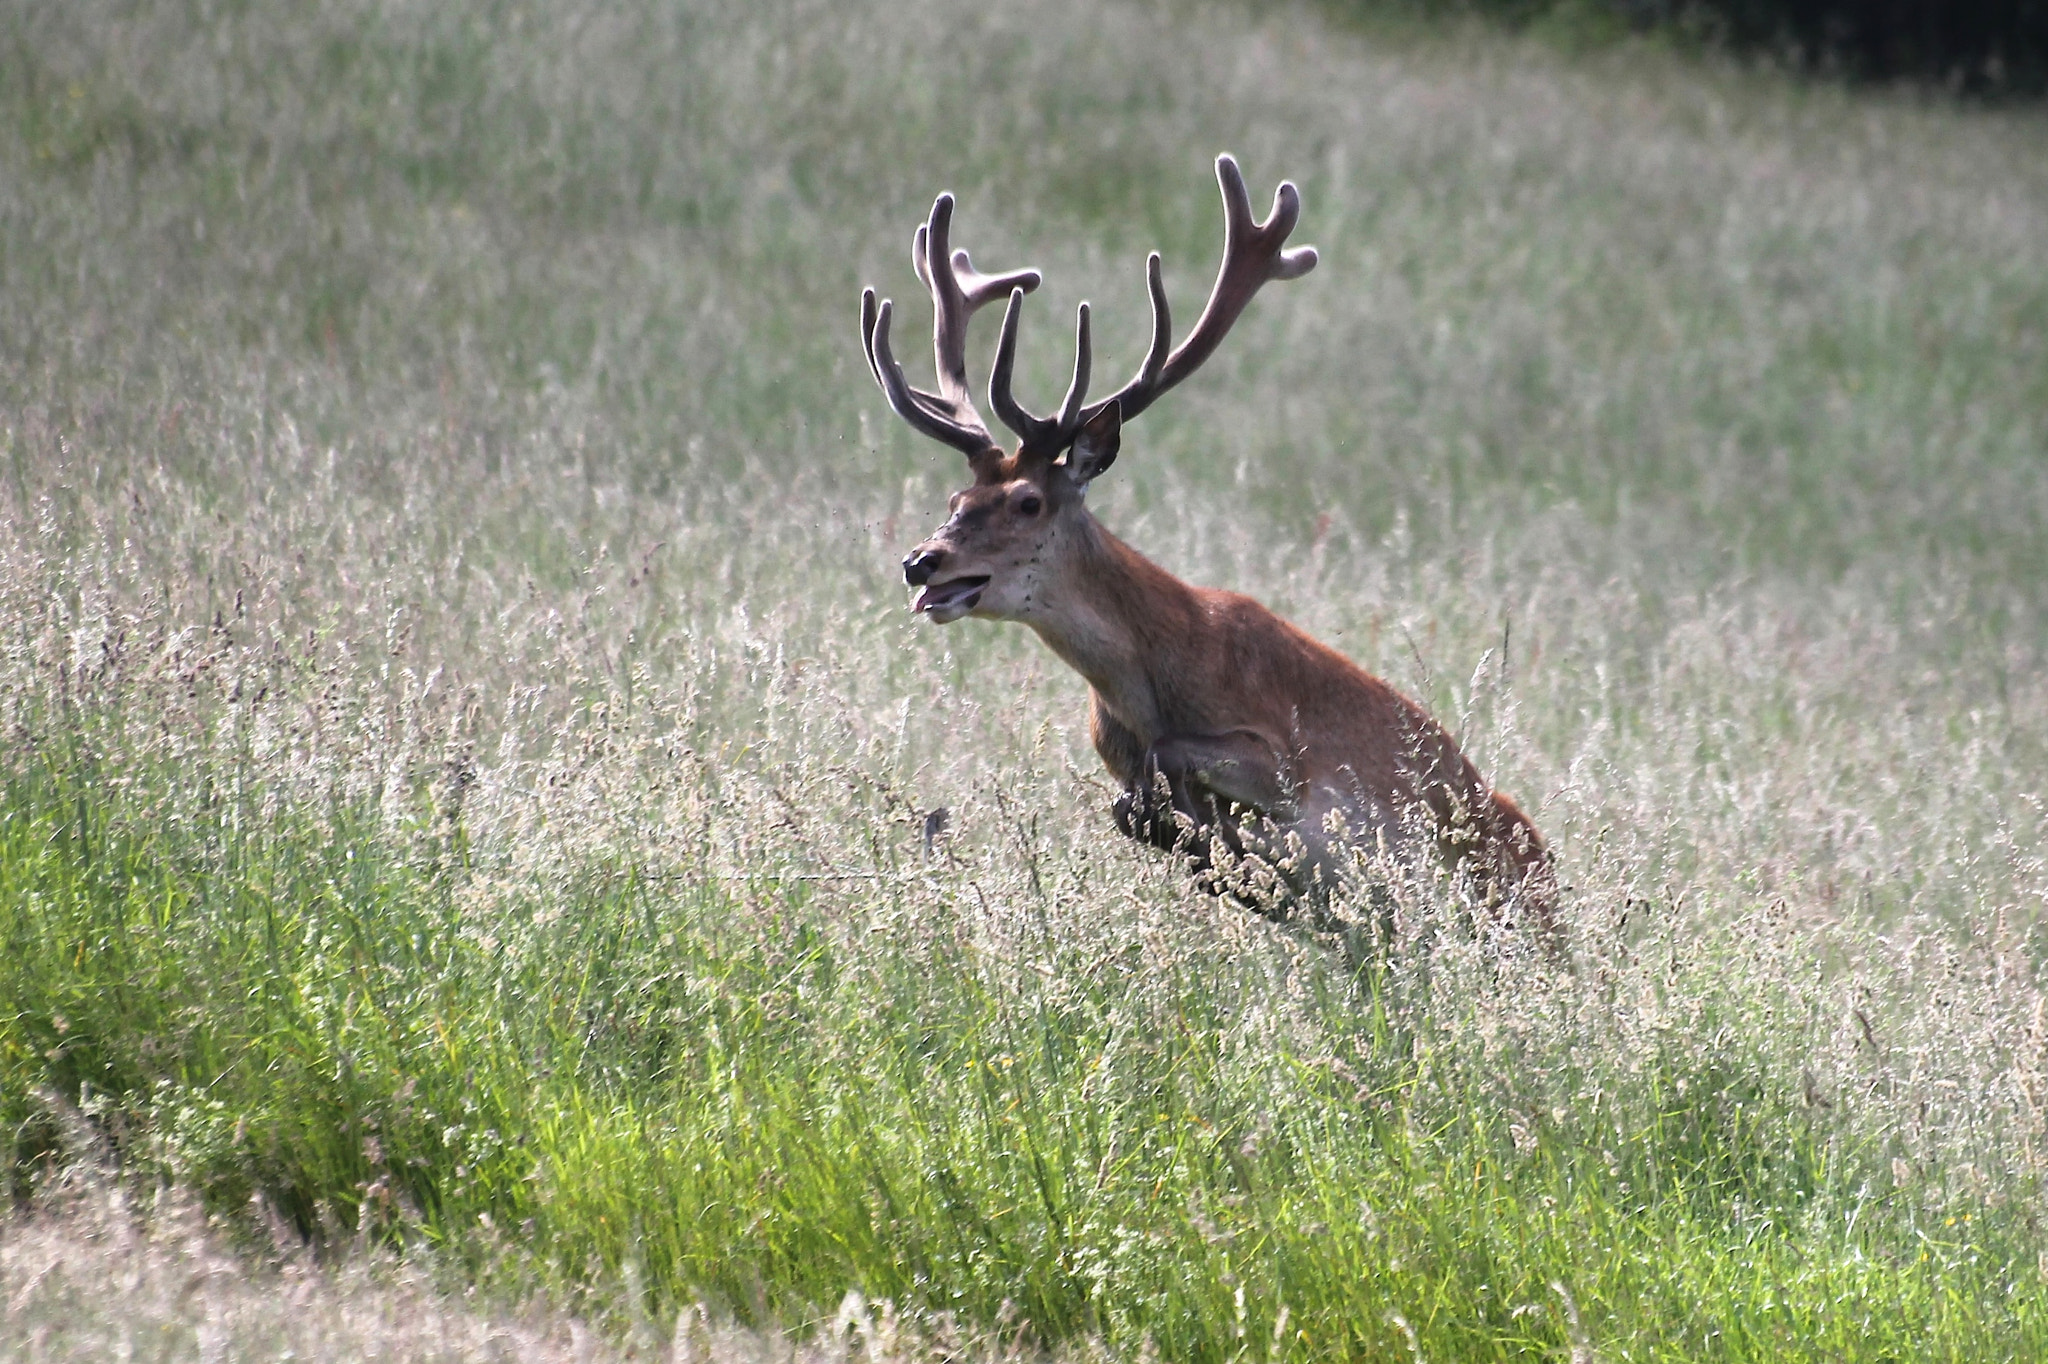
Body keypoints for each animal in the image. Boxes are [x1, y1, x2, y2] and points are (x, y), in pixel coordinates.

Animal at [859, 154, 1558, 949]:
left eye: (1028, 502)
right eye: (955, 501)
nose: (922, 561)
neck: (1147, 682)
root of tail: (1554, 895)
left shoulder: (1285, 757)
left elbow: (1176, 770)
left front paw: (1219, 839)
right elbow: (1131, 808)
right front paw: (1209, 849)